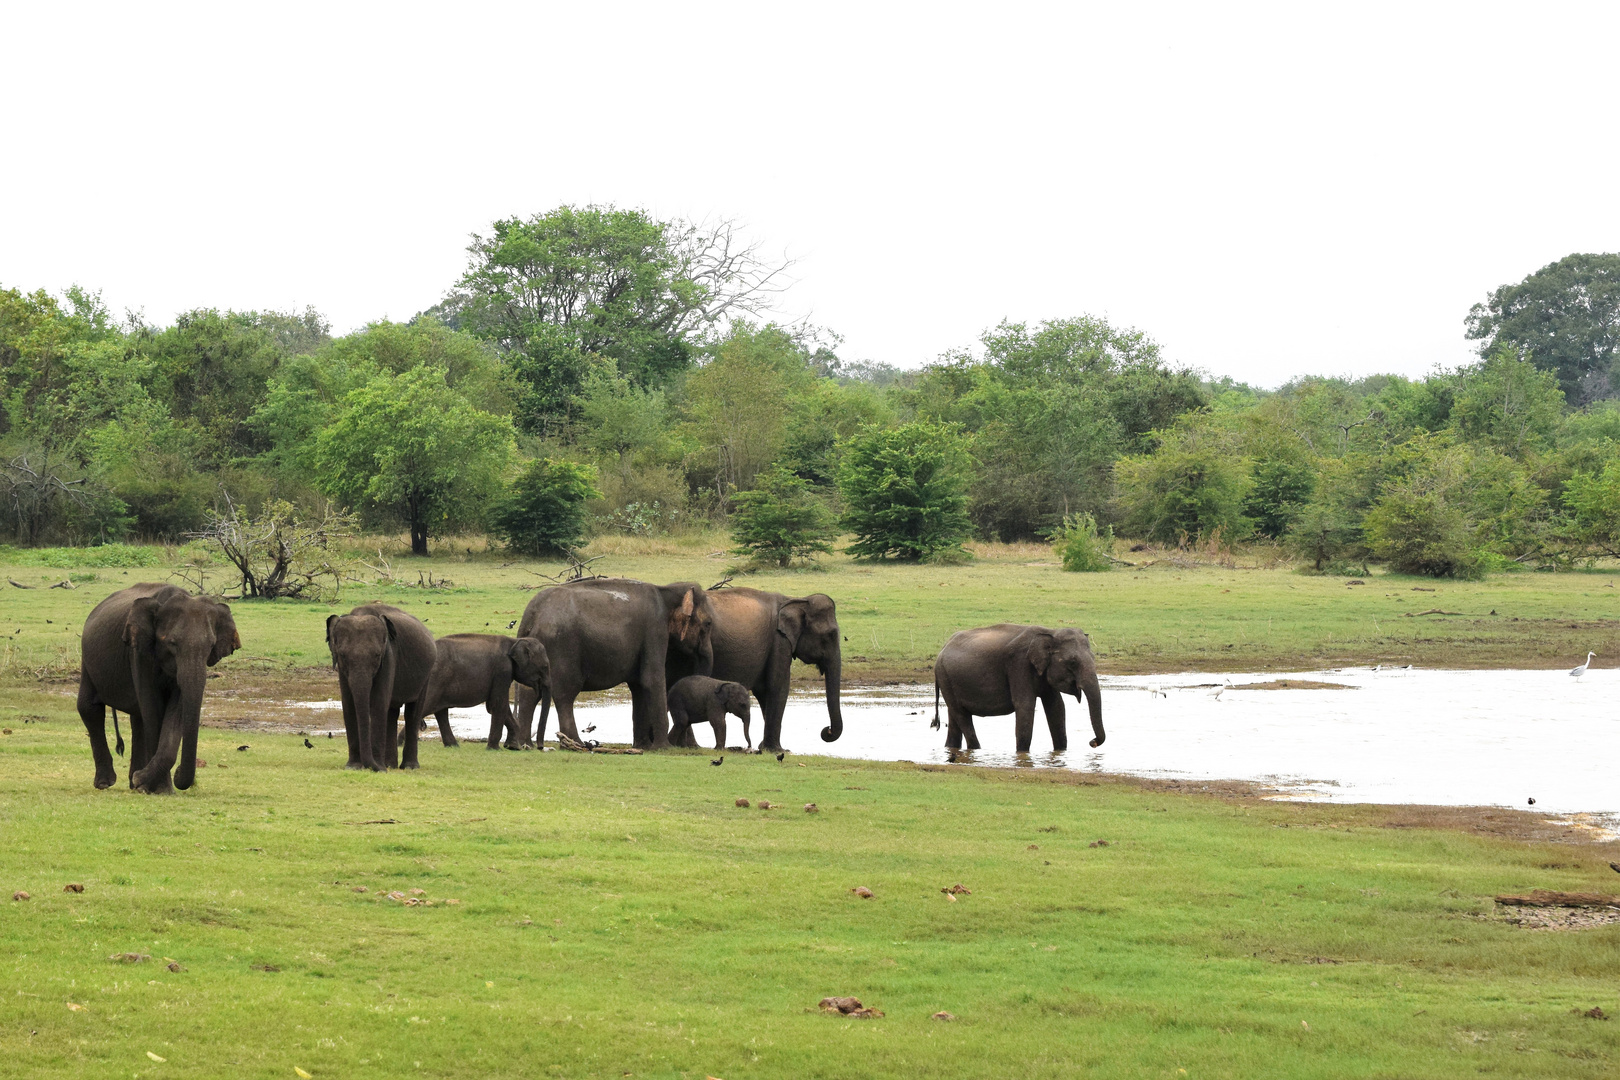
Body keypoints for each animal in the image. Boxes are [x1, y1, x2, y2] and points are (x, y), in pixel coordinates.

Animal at [74, 582, 238, 793]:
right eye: (172, 643)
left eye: (211, 646)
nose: (179, 773)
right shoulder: (139, 651)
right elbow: (153, 708)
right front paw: (155, 788)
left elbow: (176, 710)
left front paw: (147, 784)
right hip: (87, 659)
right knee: (89, 708)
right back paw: (105, 783)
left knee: (138, 719)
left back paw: (132, 783)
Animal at [325, 605, 437, 773]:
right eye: (342, 655)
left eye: (377, 655)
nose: (372, 767)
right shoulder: (342, 669)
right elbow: (348, 704)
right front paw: (353, 767)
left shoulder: (389, 656)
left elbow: (378, 703)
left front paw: (379, 768)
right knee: (392, 712)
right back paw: (390, 765)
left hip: (426, 675)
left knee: (413, 712)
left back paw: (408, 767)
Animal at [417, 634, 550, 751]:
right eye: (545, 666)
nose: (540, 748)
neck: (514, 641)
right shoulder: (502, 670)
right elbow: (498, 705)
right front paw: (495, 749)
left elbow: (497, 706)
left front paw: (513, 747)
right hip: (436, 679)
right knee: (428, 706)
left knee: (440, 711)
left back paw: (453, 746)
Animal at [515, 573, 712, 751]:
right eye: (709, 623)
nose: (686, 746)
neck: (666, 591)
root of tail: (530, 614)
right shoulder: (655, 630)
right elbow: (651, 680)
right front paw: (664, 749)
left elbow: (639, 686)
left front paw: (643, 747)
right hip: (562, 647)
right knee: (565, 693)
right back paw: (575, 744)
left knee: (531, 691)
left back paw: (526, 744)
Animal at [664, 592, 848, 751]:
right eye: (831, 635)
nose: (827, 730)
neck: (795, 600)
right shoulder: (779, 641)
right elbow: (778, 687)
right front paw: (778, 750)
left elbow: (764, 691)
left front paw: (764, 747)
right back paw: (691, 746)